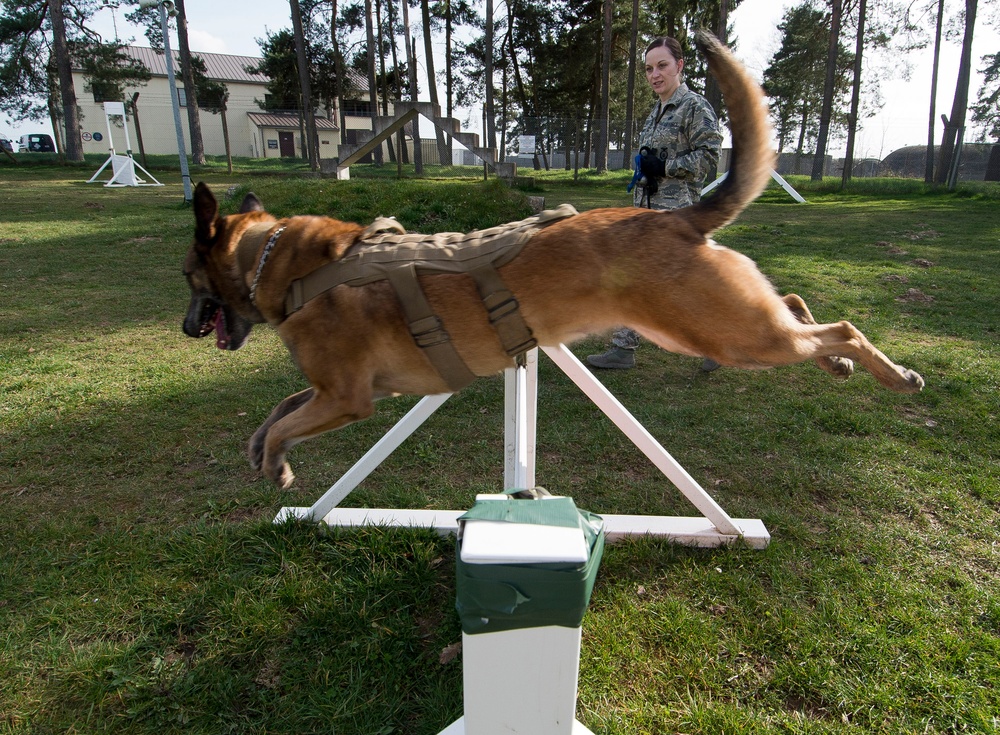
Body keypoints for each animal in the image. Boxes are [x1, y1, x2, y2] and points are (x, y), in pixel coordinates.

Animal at [182, 31, 920, 488]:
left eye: (189, 278)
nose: (188, 328)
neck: (287, 262)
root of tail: (676, 216)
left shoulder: (346, 397)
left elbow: (289, 418)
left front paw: (276, 460)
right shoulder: (338, 391)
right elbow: (280, 407)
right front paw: (262, 448)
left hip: (731, 333)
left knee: (838, 325)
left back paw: (893, 373)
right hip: (721, 324)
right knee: (799, 309)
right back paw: (839, 363)